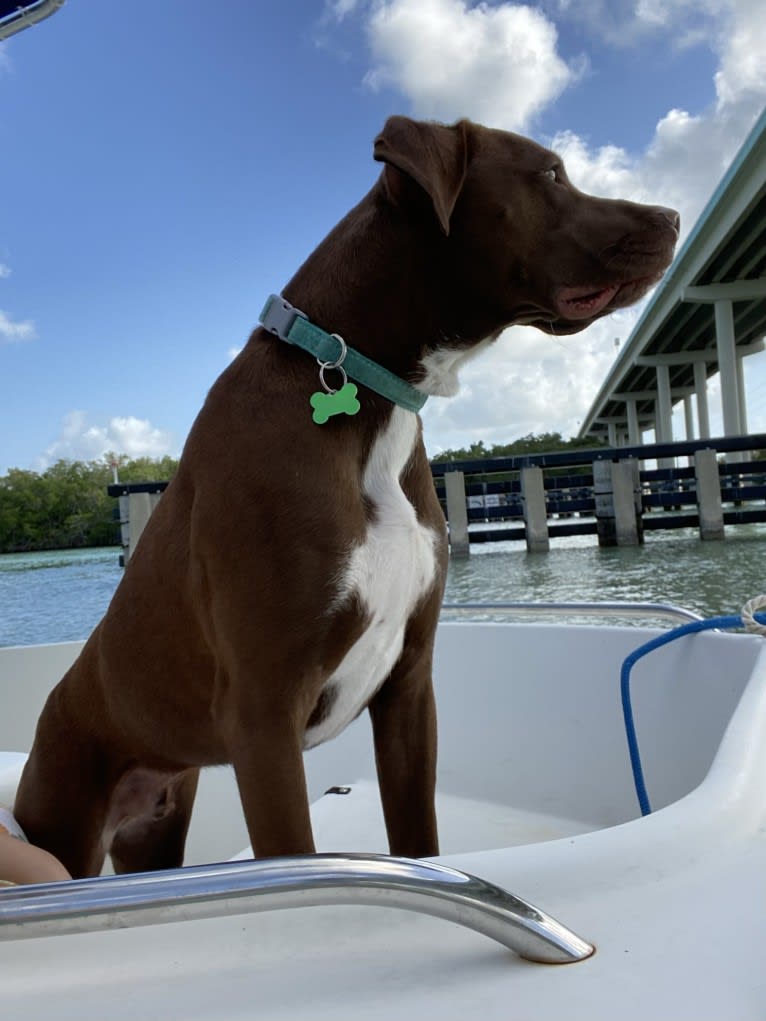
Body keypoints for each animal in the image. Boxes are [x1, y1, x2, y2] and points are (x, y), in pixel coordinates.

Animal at [15, 113, 682, 878]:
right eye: (549, 174)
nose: (672, 216)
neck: (363, 385)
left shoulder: (410, 686)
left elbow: (417, 834)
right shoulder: (264, 717)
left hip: (154, 826)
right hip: (61, 822)